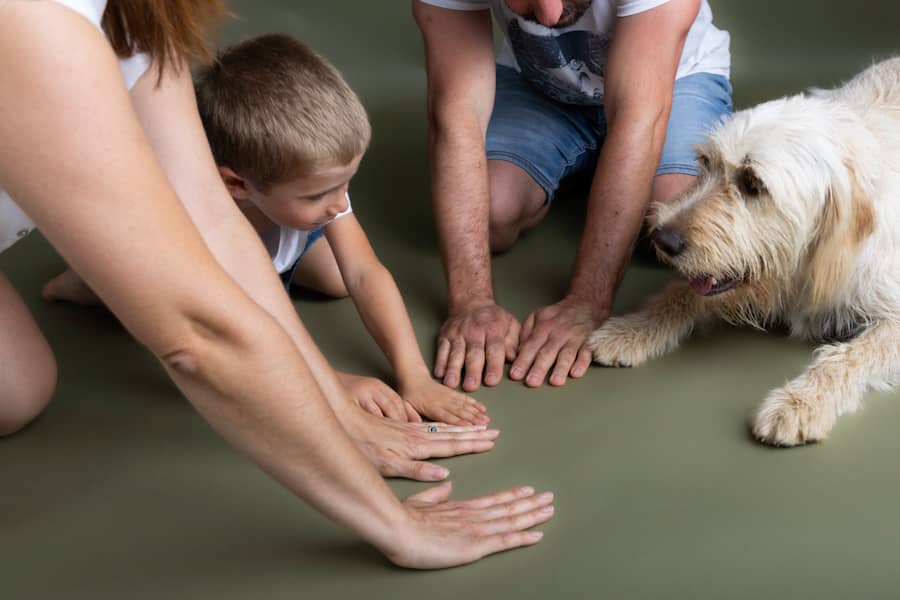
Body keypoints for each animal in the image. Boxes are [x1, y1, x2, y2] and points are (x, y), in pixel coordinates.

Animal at [588, 58, 896, 448]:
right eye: (705, 163)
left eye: (753, 184)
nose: (663, 238)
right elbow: (682, 292)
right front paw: (634, 328)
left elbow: (848, 357)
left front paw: (801, 402)